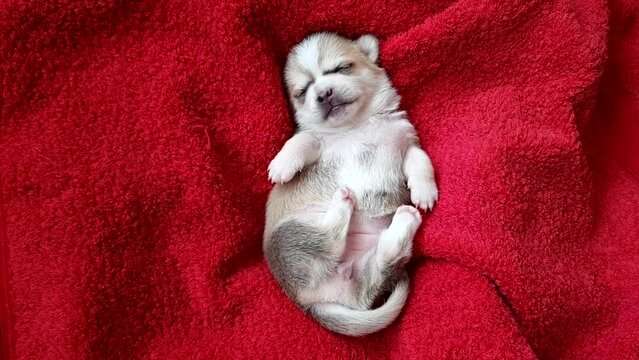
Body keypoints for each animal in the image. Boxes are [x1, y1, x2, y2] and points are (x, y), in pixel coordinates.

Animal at [262, 32, 438, 336]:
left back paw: (406, 218)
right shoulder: (318, 142)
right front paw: (282, 166)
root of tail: (312, 301)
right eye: (303, 91)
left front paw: (425, 192)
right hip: (288, 237)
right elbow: (301, 139)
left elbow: (420, 161)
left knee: (383, 263)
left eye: (341, 68)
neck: (356, 125)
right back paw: (343, 199)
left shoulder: (406, 144)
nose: (323, 94)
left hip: (363, 270)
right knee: (329, 241)